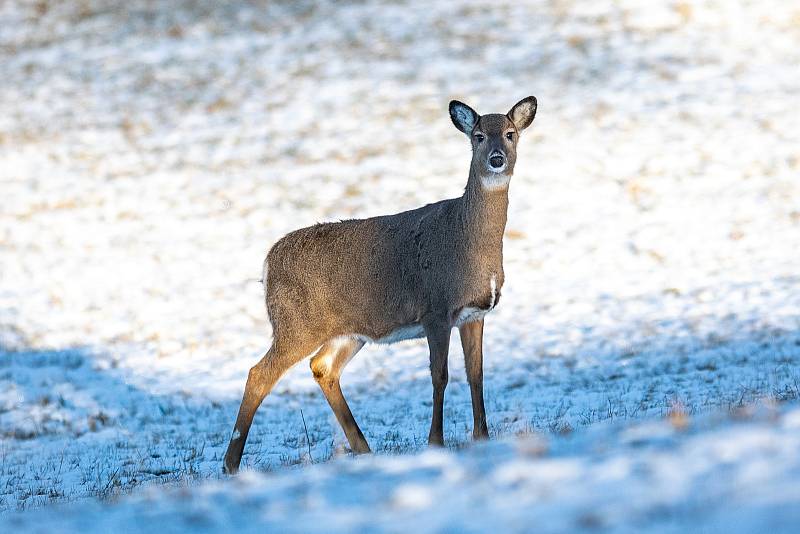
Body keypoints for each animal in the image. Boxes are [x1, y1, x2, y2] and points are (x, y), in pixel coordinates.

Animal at [222, 97, 540, 478]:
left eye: (510, 133)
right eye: (477, 136)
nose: (496, 158)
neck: (469, 243)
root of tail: (268, 264)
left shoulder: (473, 313)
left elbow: (476, 374)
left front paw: (483, 437)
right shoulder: (435, 309)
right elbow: (440, 375)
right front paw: (436, 442)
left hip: (345, 331)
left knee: (322, 367)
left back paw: (363, 448)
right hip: (296, 324)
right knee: (259, 374)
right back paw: (230, 464)